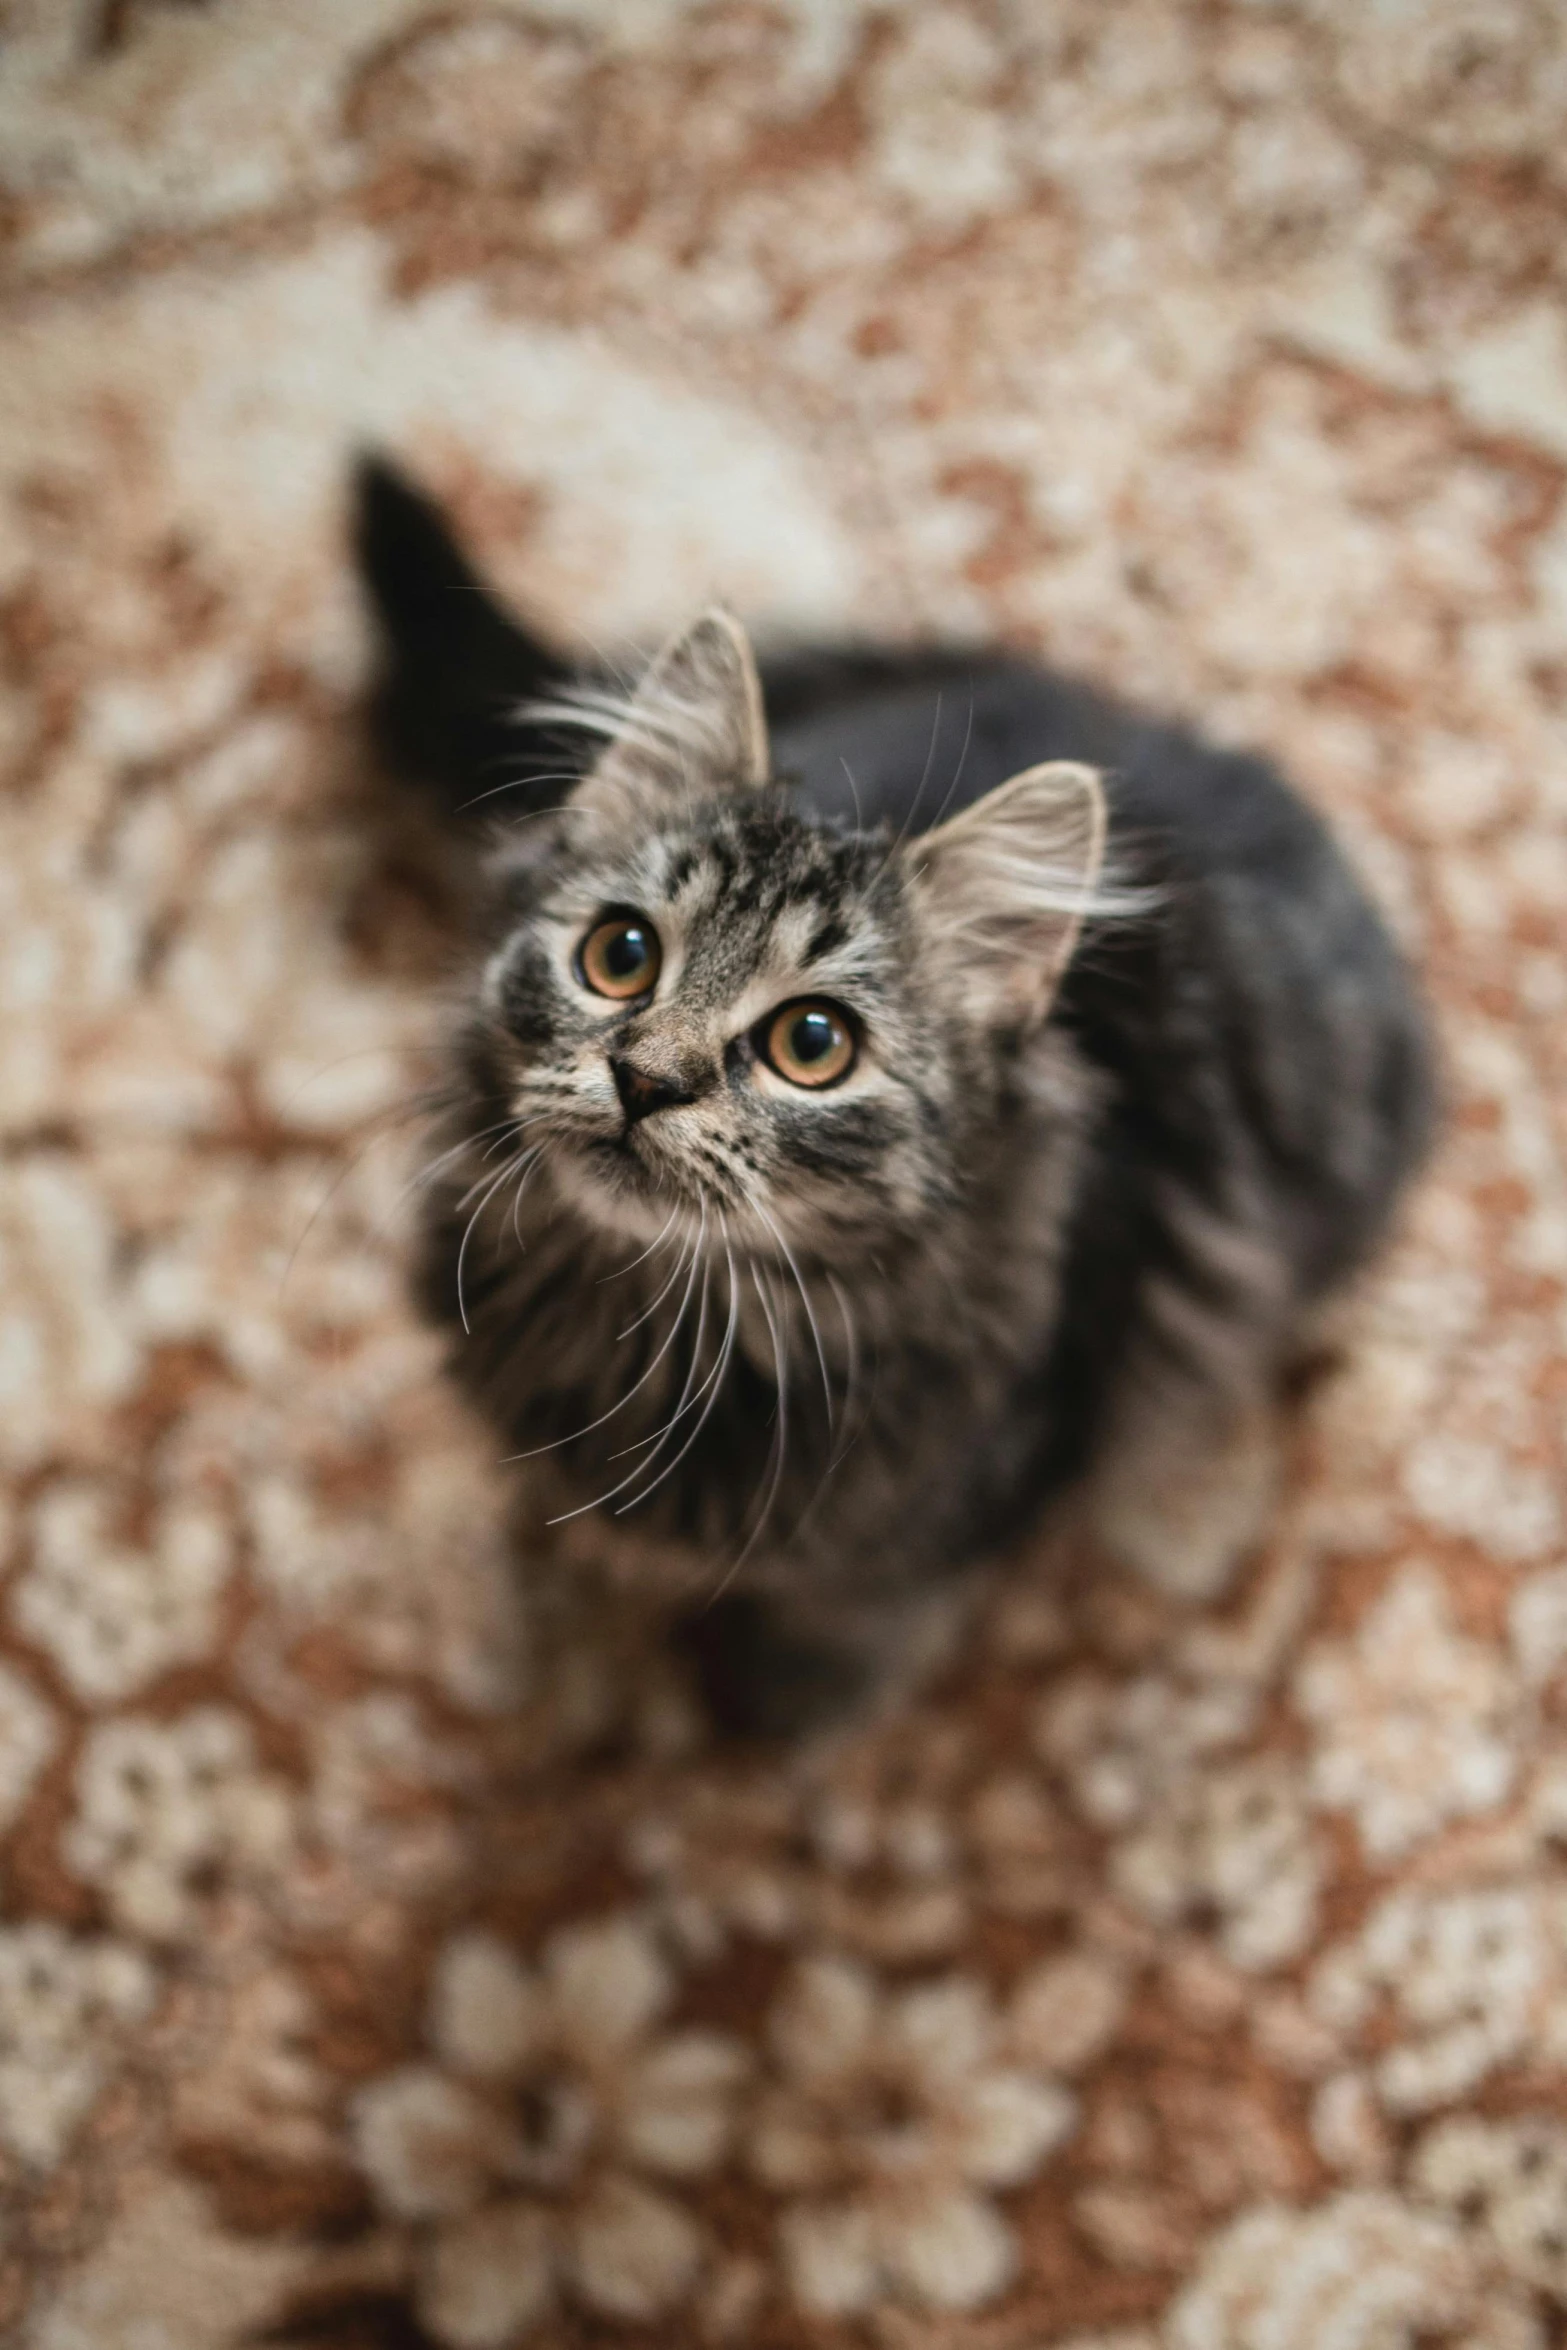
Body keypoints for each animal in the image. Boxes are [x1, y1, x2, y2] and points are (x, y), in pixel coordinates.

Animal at [352, 458, 1437, 1738]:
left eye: (813, 1043)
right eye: (620, 956)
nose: (644, 1076)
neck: (646, 1322)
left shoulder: (937, 1533)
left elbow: (847, 1634)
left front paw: (766, 1721)